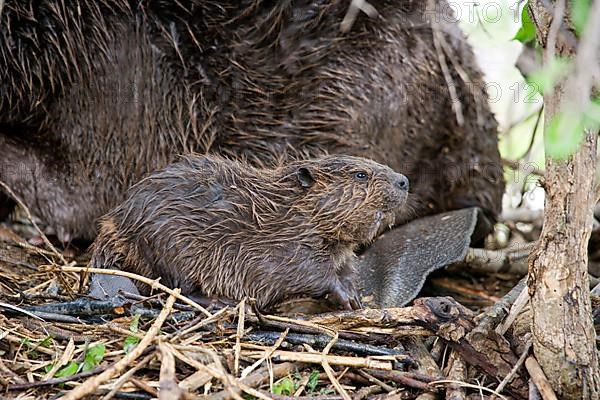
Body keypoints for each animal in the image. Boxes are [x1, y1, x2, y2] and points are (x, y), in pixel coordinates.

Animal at [90, 153, 408, 310]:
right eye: (361, 175)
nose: (404, 180)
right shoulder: (289, 248)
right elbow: (311, 274)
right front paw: (346, 297)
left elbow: (347, 268)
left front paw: (356, 294)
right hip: (167, 245)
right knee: (176, 287)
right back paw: (222, 301)